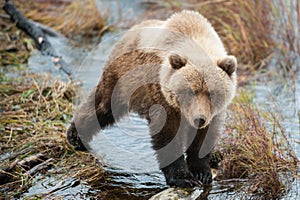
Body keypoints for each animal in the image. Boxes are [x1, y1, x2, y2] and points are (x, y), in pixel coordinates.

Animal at [67, 10, 237, 187]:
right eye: (190, 91)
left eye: (212, 93)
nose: (199, 119)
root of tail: (130, 31)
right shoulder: (162, 97)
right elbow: (167, 134)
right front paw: (182, 177)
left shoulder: (213, 113)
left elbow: (204, 137)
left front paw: (202, 172)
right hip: (122, 79)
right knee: (103, 105)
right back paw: (75, 137)